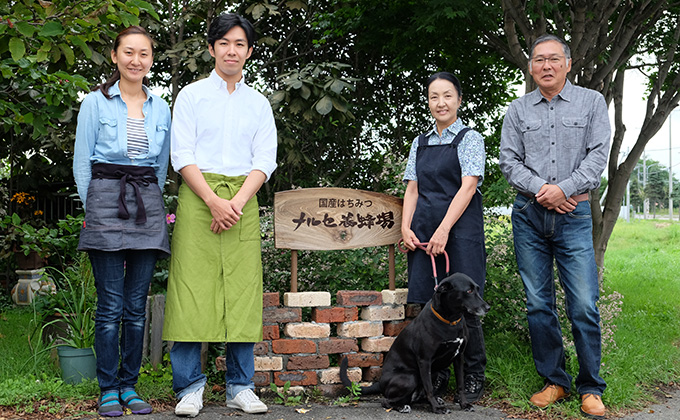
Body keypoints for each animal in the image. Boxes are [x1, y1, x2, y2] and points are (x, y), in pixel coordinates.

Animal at [340, 272, 488, 414]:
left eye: (477, 289)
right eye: (469, 291)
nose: (487, 307)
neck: (450, 321)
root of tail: (380, 383)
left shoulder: (459, 357)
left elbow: (460, 385)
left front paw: (464, 404)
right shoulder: (425, 360)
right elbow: (429, 388)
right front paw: (436, 409)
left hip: (434, 372)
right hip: (410, 377)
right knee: (386, 401)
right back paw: (403, 407)